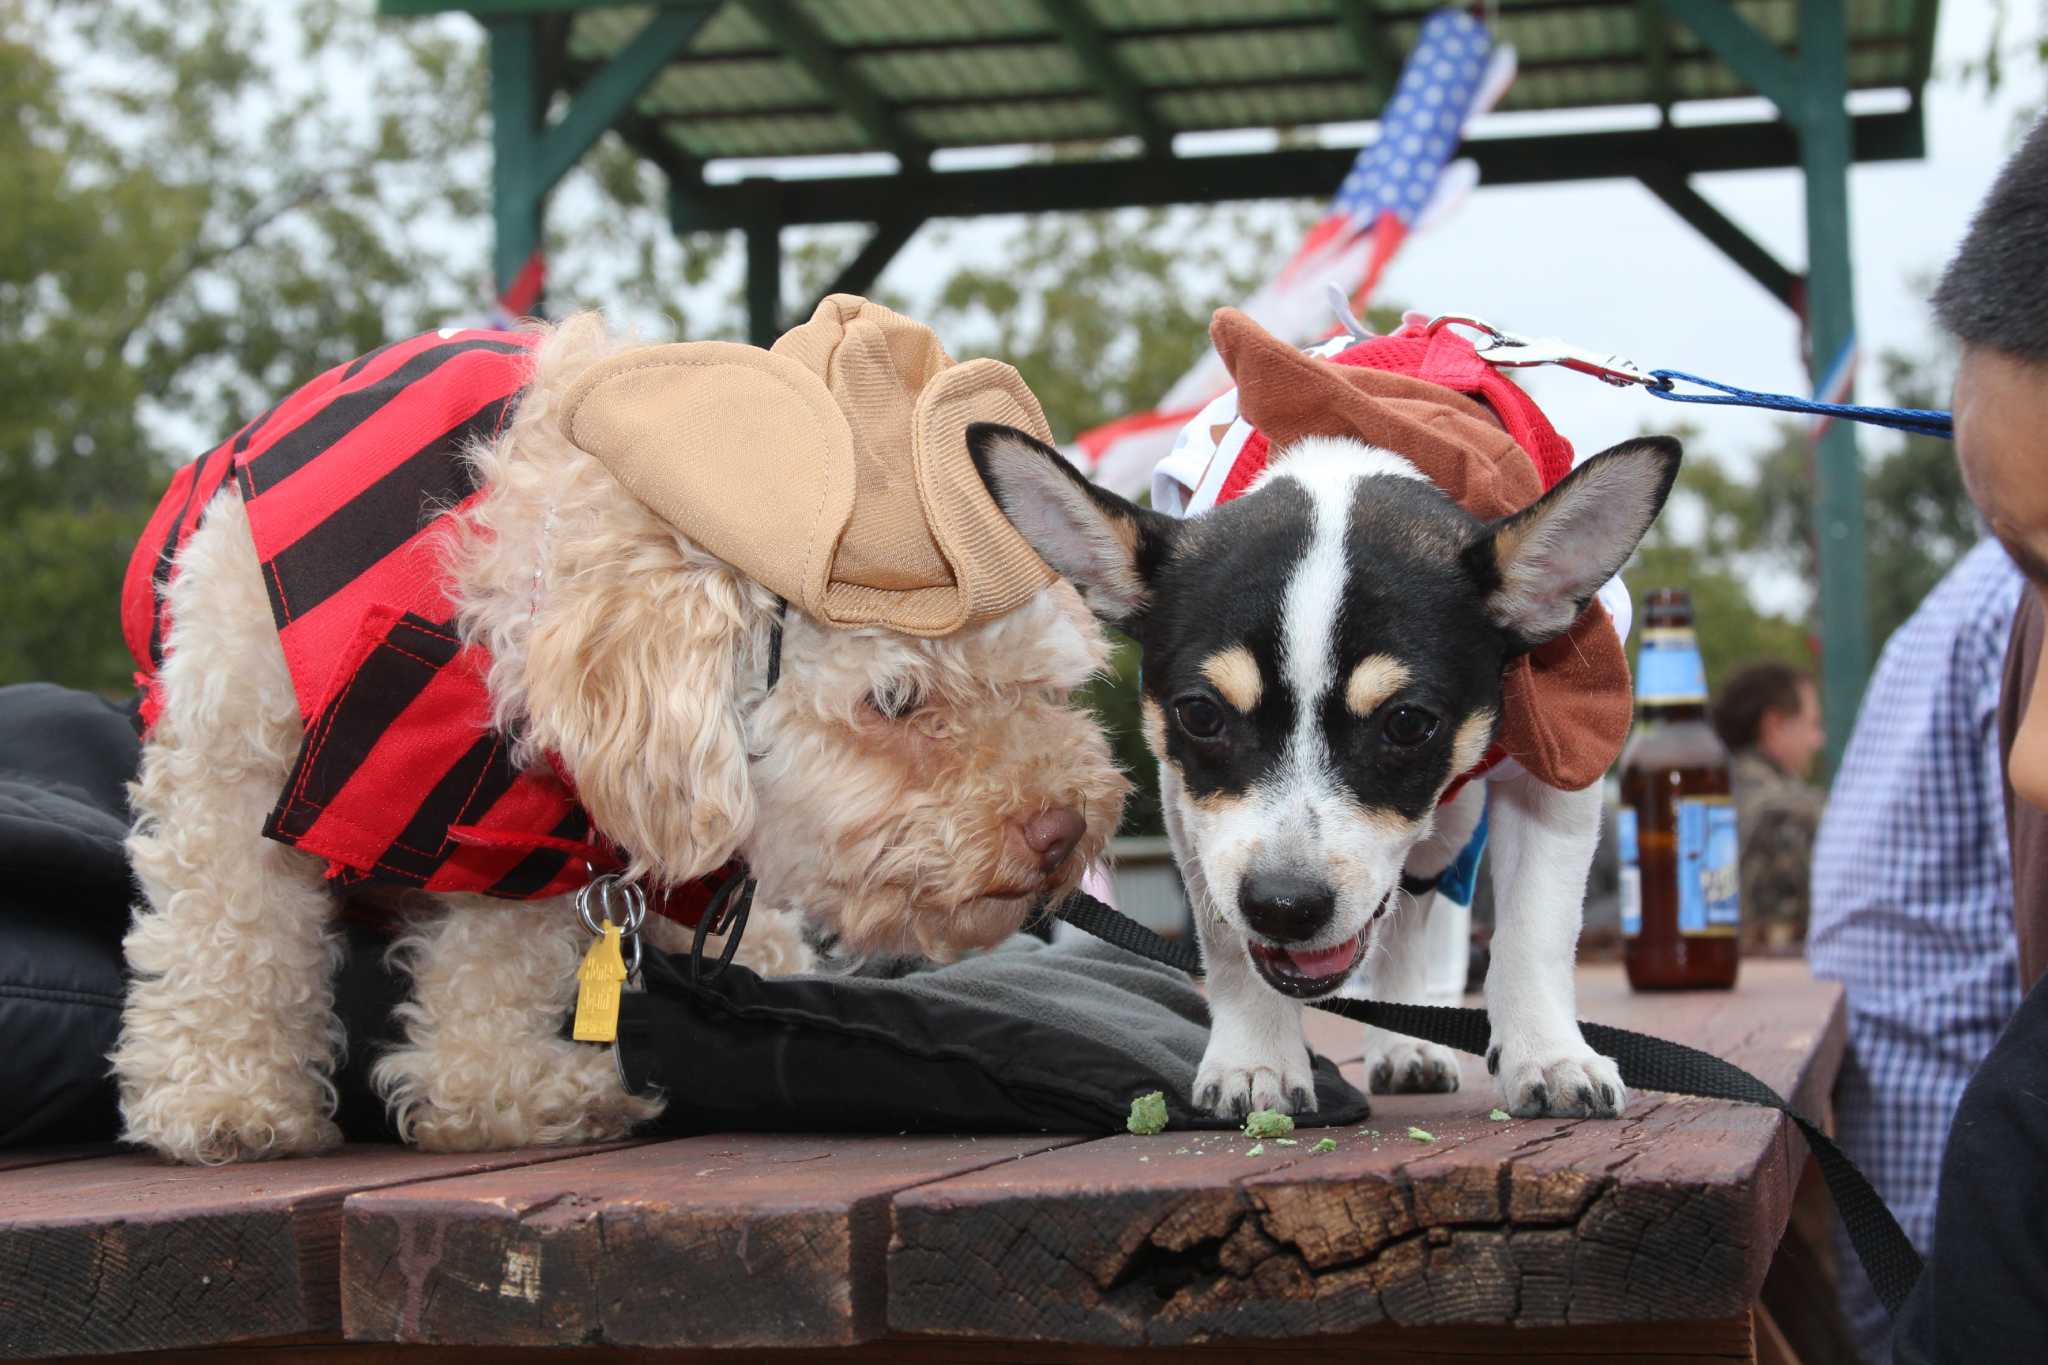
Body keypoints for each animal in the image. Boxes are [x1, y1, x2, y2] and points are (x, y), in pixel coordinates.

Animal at [112, 296, 1130, 1162]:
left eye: (1045, 688)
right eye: (896, 700)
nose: (1064, 830)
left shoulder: (513, 838)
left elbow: (495, 957)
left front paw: (500, 1095)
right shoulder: (235, 745)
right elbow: (232, 926)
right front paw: (224, 1100)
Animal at [974, 427, 1679, 1121]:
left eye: (1408, 723)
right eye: (1200, 714)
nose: (1284, 908)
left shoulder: (1560, 766)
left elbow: (1536, 930)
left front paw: (1551, 1054)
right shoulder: (1189, 806)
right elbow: (1229, 946)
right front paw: (1255, 1057)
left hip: (1448, 831)